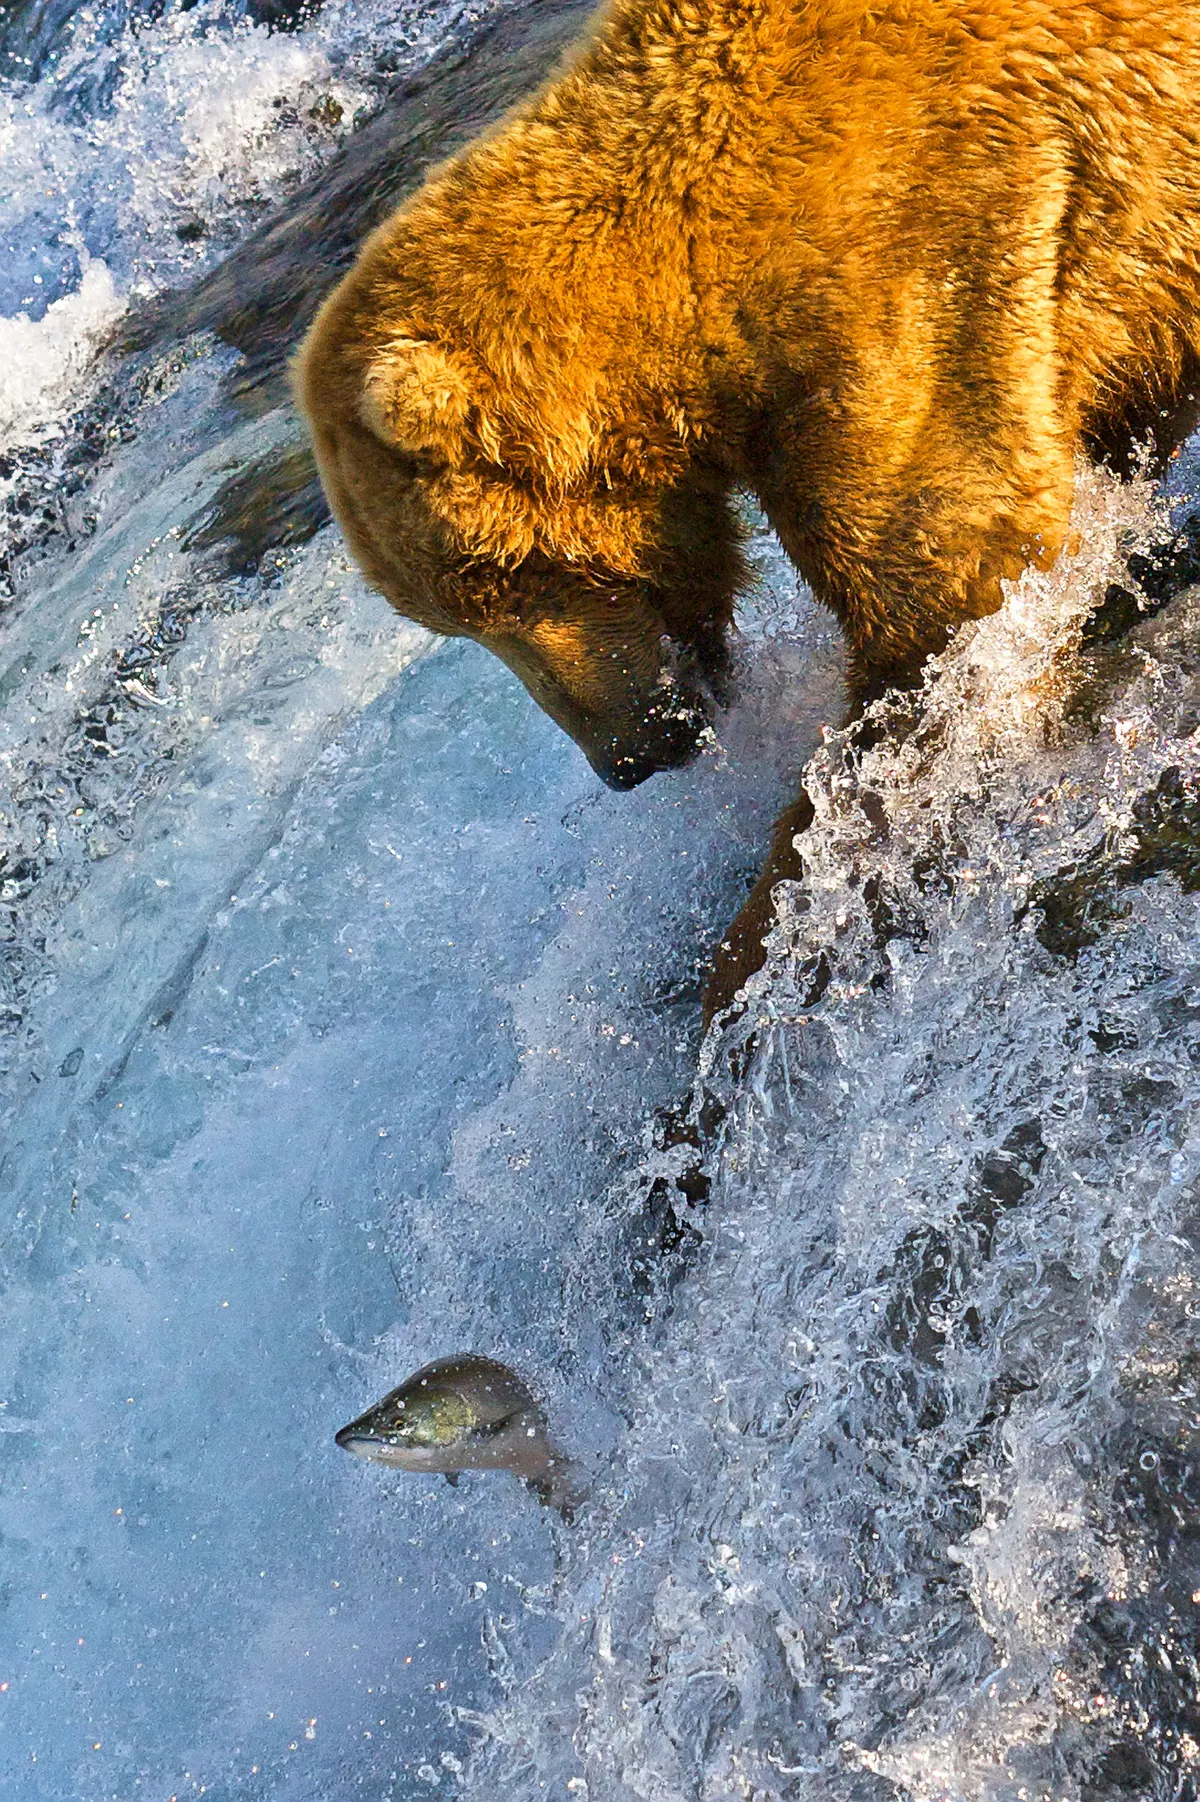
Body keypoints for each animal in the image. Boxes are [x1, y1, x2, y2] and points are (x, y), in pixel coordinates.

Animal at [295, 0, 1200, 1021]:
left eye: (499, 581)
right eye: (452, 620)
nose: (625, 759)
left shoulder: (921, 267)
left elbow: (948, 600)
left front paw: (749, 950)